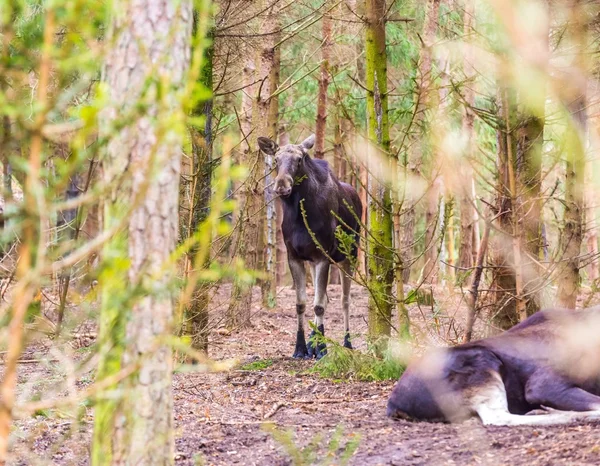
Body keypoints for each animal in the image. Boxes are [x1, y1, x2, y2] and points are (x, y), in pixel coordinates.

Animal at [256, 135, 360, 360]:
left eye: (299, 159)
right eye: (276, 159)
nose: (281, 186)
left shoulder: (323, 256)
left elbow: (319, 306)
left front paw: (322, 350)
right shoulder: (295, 256)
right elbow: (302, 304)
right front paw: (301, 348)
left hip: (350, 256)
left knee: (344, 300)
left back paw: (347, 343)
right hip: (313, 261)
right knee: (325, 298)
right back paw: (314, 342)